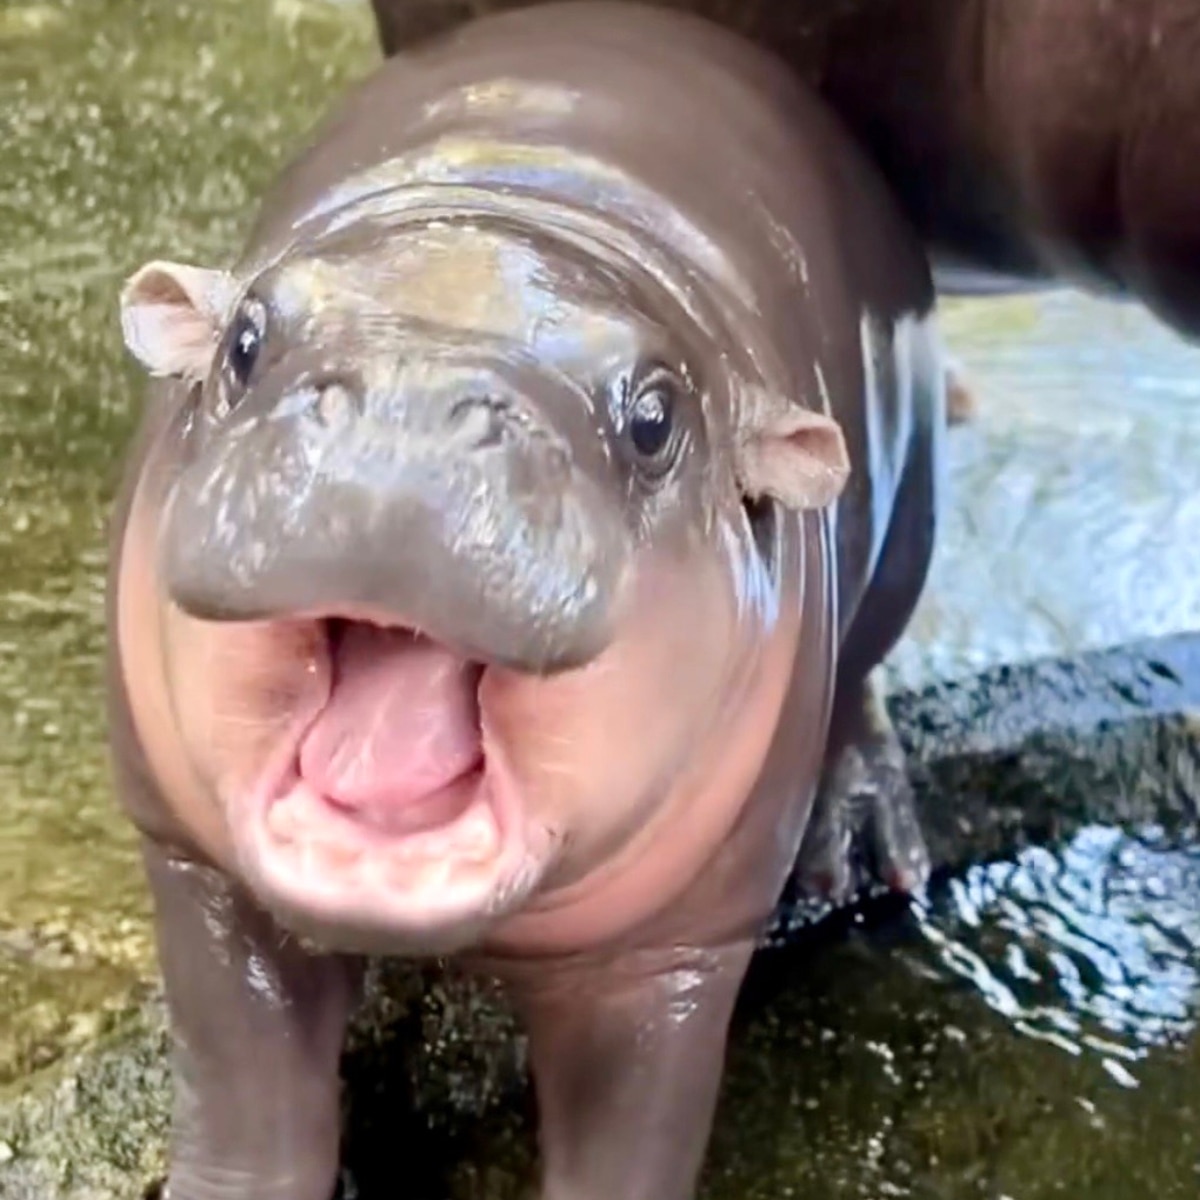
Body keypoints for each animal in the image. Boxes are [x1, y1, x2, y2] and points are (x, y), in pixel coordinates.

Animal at [105, 4, 945, 1195]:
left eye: (655, 419)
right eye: (244, 341)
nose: (409, 413)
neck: (520, 216)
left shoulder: (675, 956)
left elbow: (632, 1144)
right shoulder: (192, 863)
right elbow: (244, 1112)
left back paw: (869, 847)